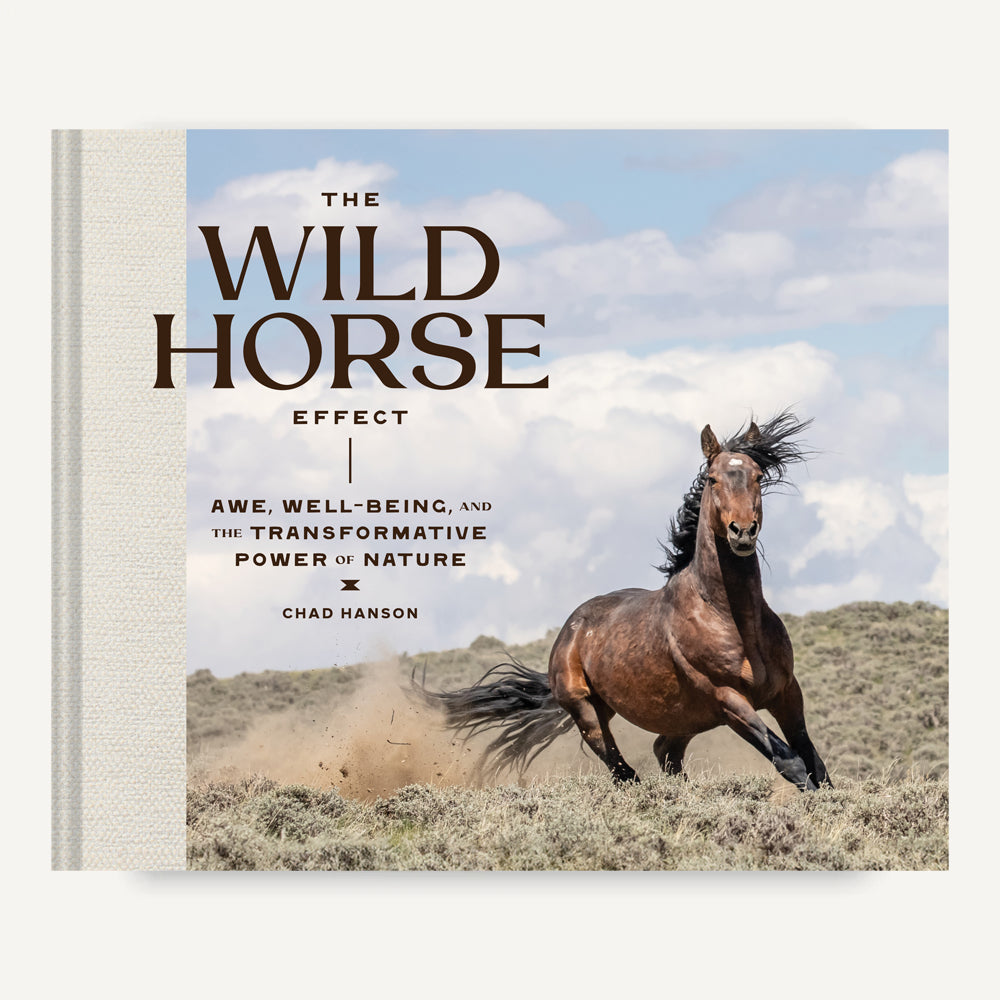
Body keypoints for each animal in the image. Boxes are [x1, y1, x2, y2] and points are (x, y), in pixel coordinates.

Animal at [416, 410, 831, 792]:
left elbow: (816, 764)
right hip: (588, 711)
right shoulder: (729, 700)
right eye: (713, 479)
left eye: (758, 476)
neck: (731, 618)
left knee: (664, 752)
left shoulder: (786, 692)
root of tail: (570, 629)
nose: (742, 532)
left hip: (687, 717)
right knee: (621, 769)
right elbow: (791, 762)